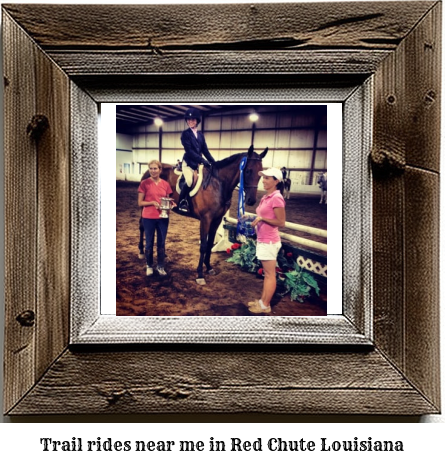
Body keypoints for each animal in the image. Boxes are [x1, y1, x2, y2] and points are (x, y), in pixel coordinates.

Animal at [137, 145, 266, 282]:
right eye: (248, 171)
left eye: (260, 173)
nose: (251, 201)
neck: (218, 184)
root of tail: (148, 171)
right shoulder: (206, 219)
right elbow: (203, 245)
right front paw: (200, 274)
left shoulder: (217, 219)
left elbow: (209, 243)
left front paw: (209, 267)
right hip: (145, 206)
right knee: (142, 226)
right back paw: (141, 252)